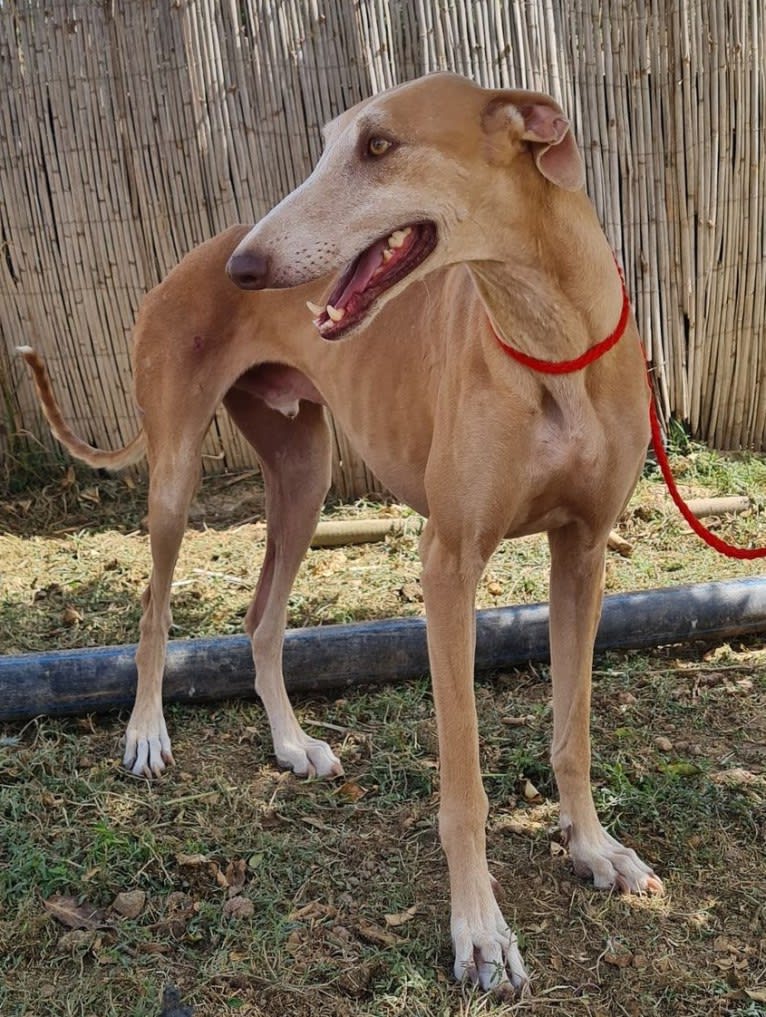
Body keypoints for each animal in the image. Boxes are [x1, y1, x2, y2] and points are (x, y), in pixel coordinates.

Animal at [20, 73, 659, 1000]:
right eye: (329, 143)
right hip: (177, 475)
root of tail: (190, 257)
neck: (548, 341)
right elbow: (463, 782)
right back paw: (144, 733)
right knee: (152, 606)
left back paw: (292, 745)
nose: (247, 269)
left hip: (304, 480)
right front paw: (480, 933)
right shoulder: (448, 563)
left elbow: (572, 732)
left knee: (261, 620)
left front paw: (594, 848)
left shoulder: (584, 551)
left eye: (379, 145)